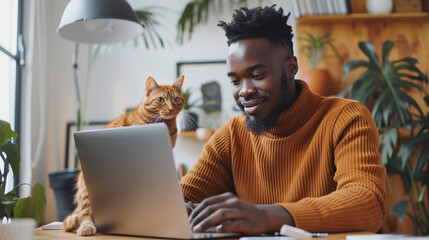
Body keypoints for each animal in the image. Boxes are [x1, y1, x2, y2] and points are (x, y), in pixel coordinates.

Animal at [62, 76, 184, 235]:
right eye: (161, 100)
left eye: (176, 99)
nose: (170, 108)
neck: (167, 125)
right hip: (85, 189)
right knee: (84, 213)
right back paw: (87, 226)